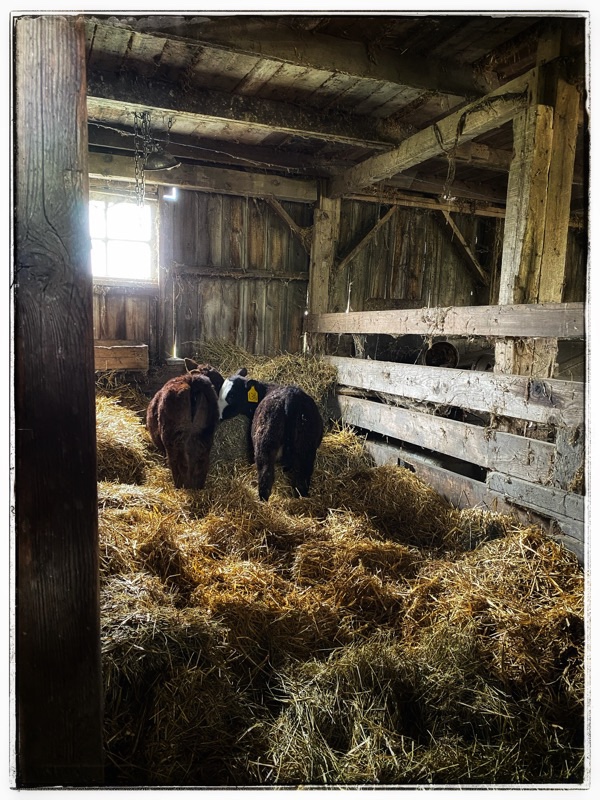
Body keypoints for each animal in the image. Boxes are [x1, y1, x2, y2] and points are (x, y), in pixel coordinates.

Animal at [146, 359, 224, 489]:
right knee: (202, 461)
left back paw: (180, 485)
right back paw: (198, 486)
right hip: (206, 434)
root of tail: (193, 382)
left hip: (172, 436)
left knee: (178, 461)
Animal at [218, 368, 324, 501]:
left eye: (231, 396)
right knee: (302, 478)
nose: (217, 415)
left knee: (266, 475)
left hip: (265, 444)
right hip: (307, 447)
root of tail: (291, 397)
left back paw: (262, 500)